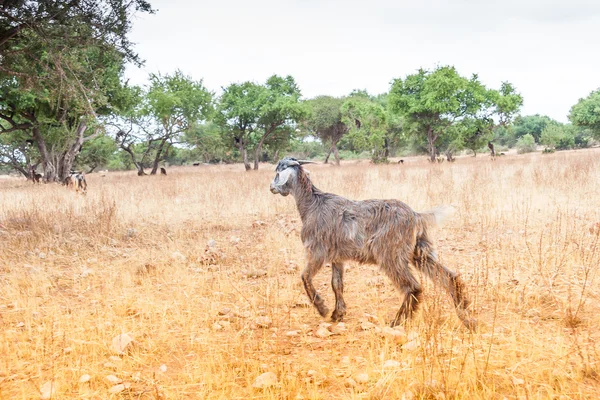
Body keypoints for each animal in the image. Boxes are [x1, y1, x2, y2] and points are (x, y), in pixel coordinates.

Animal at [270, 158, 476, 330]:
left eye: (278, 171)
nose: (271, 187)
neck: (312, 204)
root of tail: (416, 215)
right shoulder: (337, 257)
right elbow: (336, 284)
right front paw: (338, 314)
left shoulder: (317, 251)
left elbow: (305, 277)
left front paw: (323, 309)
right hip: (419, 252)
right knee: (448, 277)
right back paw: (465, 314)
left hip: (390, 254)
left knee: (413, 286)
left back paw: (398, 321)